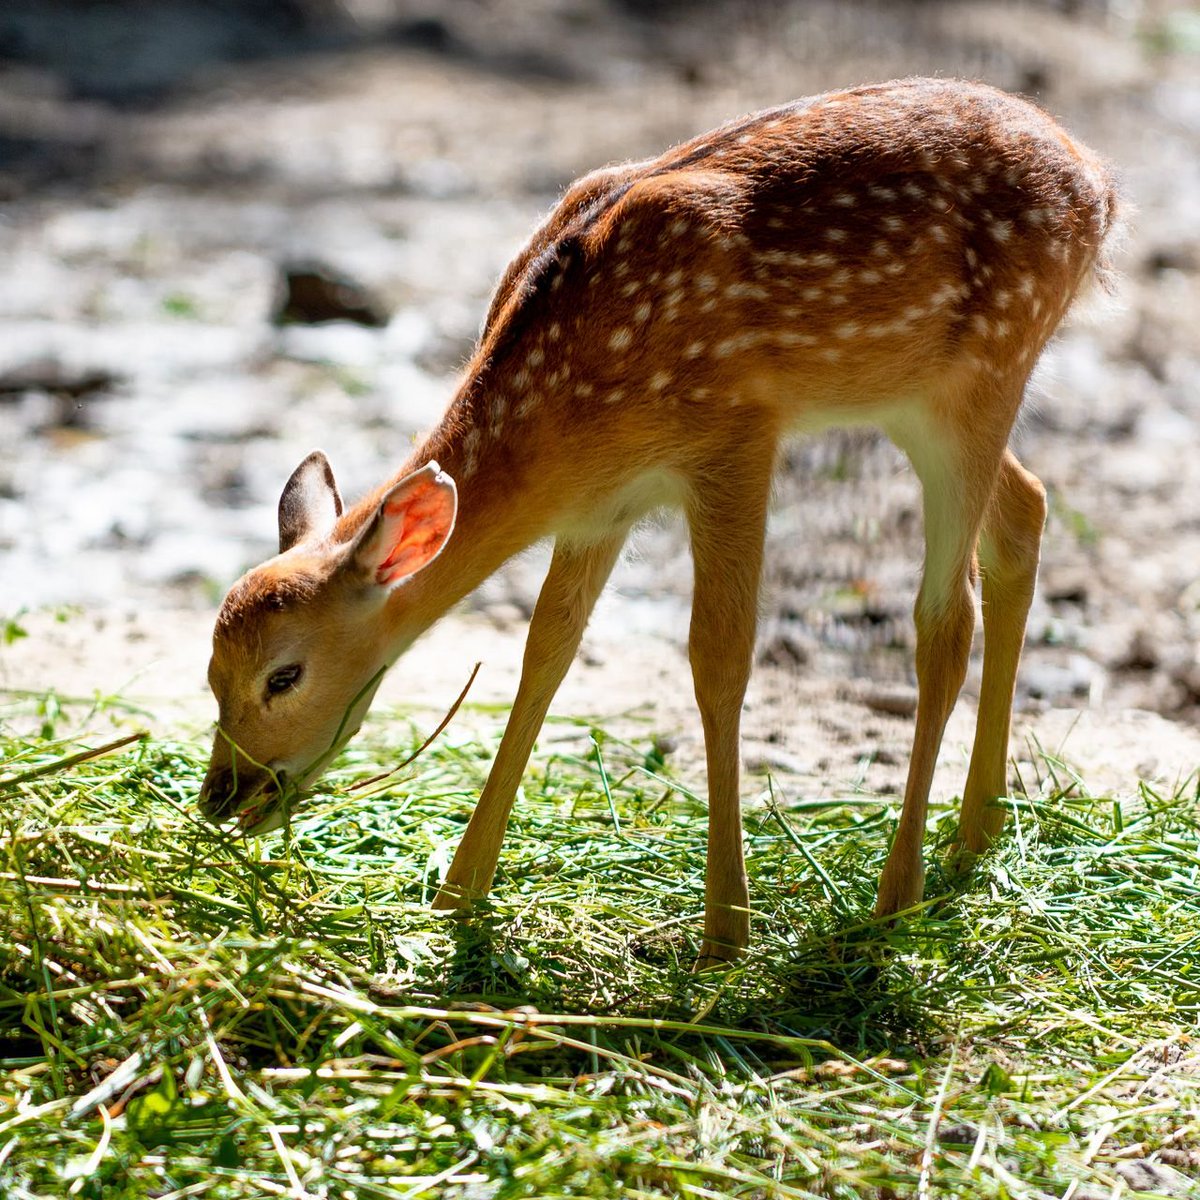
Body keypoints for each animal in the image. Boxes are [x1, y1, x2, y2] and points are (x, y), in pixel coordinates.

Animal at [199, 78, 1118, 965]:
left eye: (283, 675)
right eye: (210, 673)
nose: (221, 796)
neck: (570, 412)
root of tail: (1099, 184)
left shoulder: (734, 435)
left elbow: (718, 656)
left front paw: (725, 933)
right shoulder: (600, 508)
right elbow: (546, 651)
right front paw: (458, 894)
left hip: (986, 366)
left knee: (943, 620)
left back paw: (896, 900)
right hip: (915, 398)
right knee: (1027, 512)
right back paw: (976, 834)